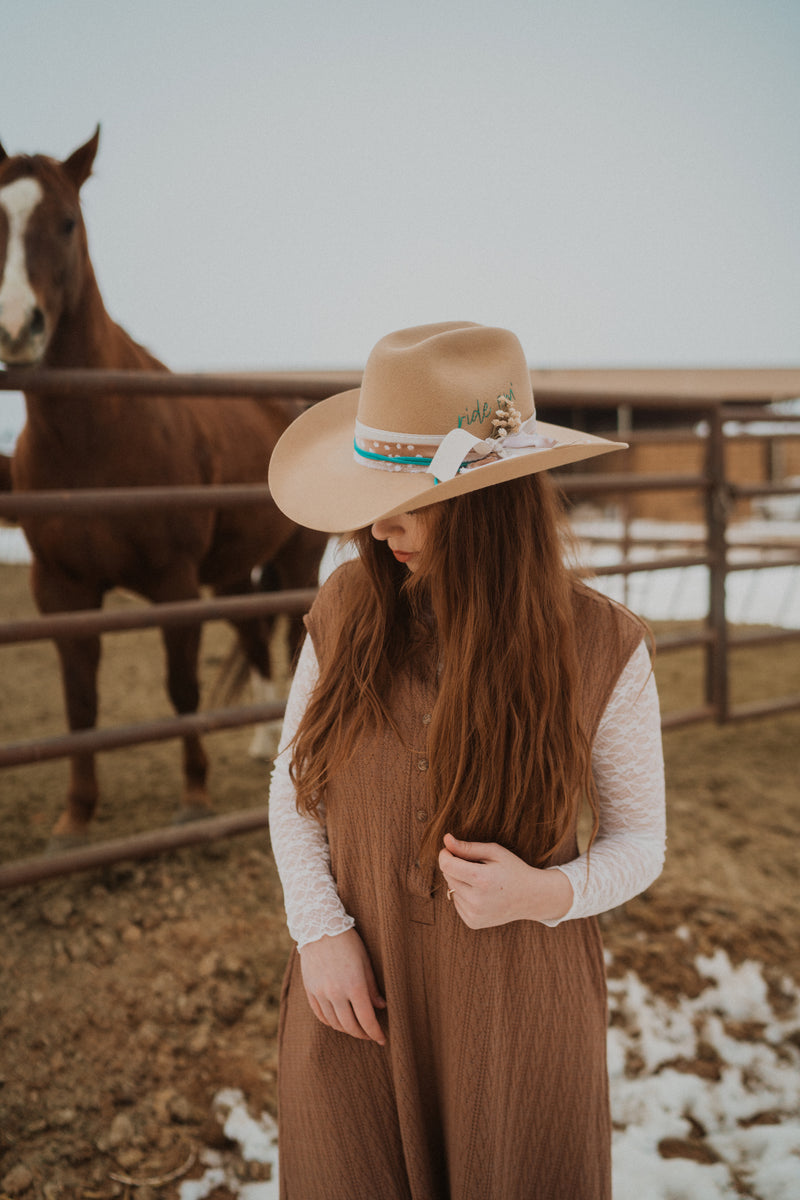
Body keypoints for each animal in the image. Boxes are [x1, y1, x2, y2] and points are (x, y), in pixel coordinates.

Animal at [0, 131, 326, 844]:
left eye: (66, 222)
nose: (15, 328)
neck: (95, 433)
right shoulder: (60, 590)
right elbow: (79, 705)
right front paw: (75, 816)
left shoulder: (175, 584)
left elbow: (181, 691)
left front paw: (195, 797)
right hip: (233, 574)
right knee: (255, 638)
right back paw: (261, 743)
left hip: (294, 561)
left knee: (291, 643)